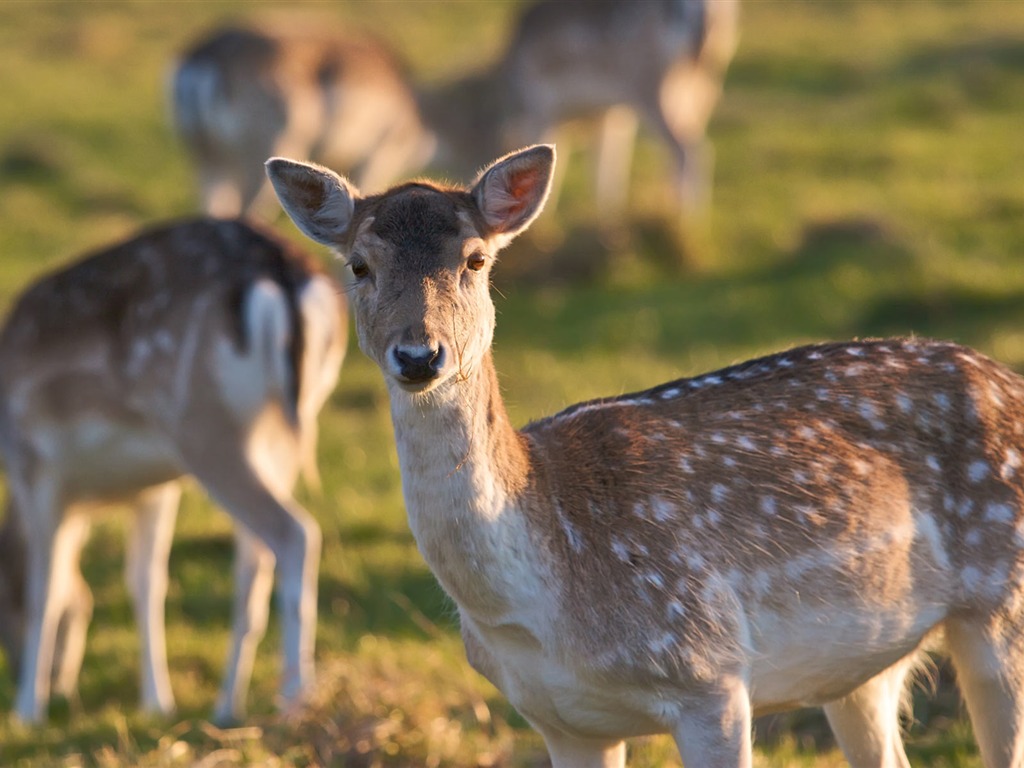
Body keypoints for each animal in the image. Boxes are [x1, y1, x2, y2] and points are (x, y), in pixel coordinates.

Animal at [0, 218, 346, 729]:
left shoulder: (33, 466)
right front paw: (156, 703)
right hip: (282, 429)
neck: (89, 498)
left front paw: (29, 710)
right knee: (254, 560)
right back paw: (227, 705)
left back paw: (294, 699)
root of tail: (282, 273)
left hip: (201, 424)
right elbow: (145, 582)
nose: (56, 685)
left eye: (1, 604)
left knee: (295, 532)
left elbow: (47, 586)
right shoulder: (153, 486)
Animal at [268, 144, 1024, 768]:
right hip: (862, 661)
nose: (420, 355)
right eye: (359, 266)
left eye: (475, 260)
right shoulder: (563, 722)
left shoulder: (709, 673)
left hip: (1003, 606)